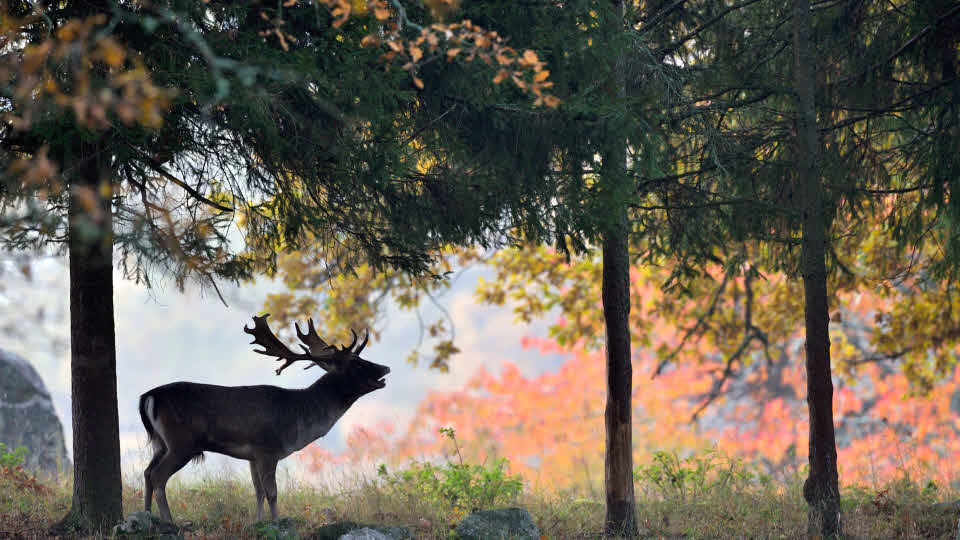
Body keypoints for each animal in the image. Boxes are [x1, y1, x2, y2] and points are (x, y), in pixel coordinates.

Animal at [139, 314, 386, 524]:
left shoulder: (252, 455)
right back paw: (169, 521)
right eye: (357, 363)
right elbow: (272, 492)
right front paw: (276, 521)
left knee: (147, 472)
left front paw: (258, 522)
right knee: (158, 476)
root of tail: (148, 396)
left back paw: (147, 516)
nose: (385, 367)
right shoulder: (268, 449)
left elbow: (258, 491)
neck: (299, 417)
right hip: (182, 442)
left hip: (161, 443)